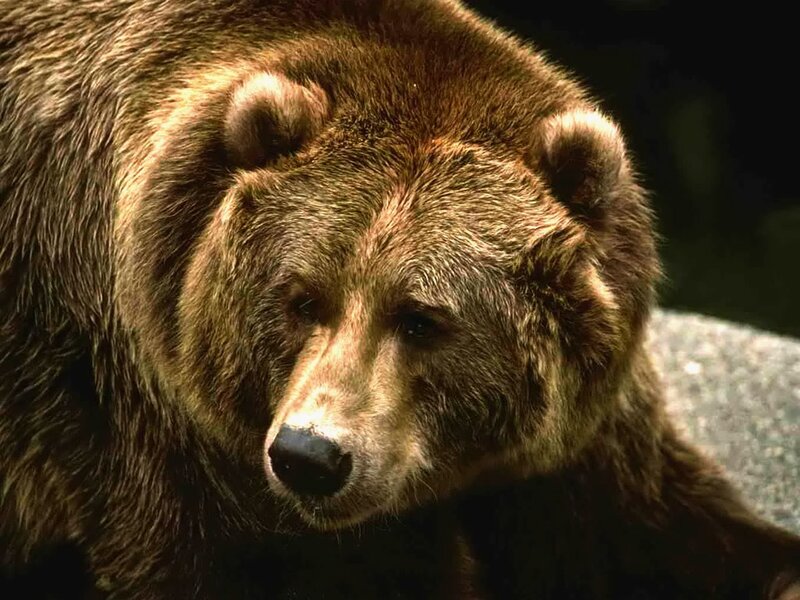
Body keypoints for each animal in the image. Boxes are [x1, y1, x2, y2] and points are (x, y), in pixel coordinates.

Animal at [1, 0, 799, 599]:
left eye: (421, 318)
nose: (310, 456)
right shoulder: (134, 405)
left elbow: (667, 532)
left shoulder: (580, 437)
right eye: (301, 298)